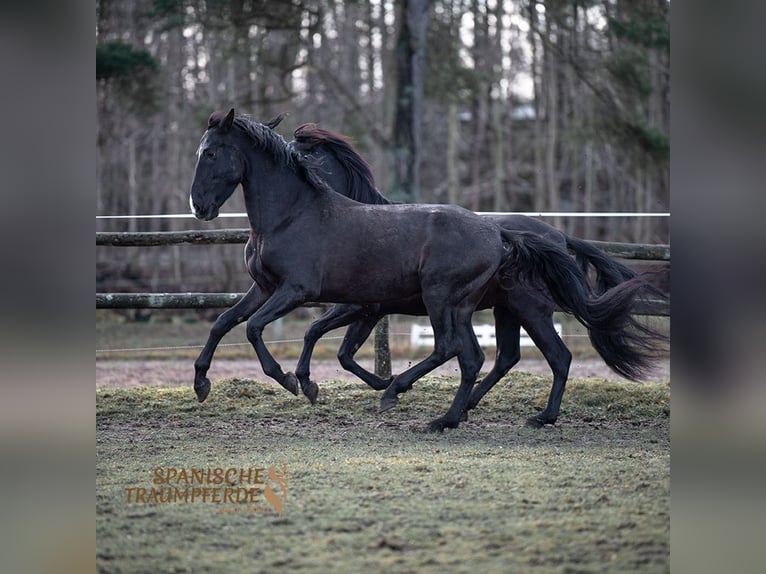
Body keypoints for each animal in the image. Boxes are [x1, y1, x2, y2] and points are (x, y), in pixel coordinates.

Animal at [189, 109, 656, 432]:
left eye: (209, 152)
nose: (199, 206)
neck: (291, 215)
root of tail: (500, 233)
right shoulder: (266, 289)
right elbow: (225, 323)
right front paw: (202, 384)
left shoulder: (303, 293)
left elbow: (260, 330)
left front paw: (292, 381)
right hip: (484, 308)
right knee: (486, 357)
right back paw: (458, 414)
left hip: (457, 300)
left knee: (483, 352)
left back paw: (432, 405)